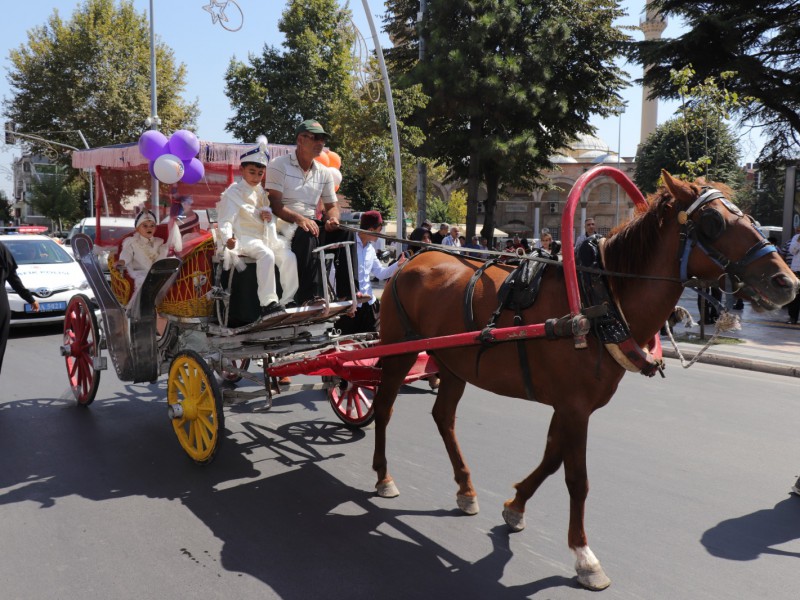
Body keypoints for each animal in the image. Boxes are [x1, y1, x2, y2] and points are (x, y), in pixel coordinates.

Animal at [370, 170, 800, 592]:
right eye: (713, 222)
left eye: (748, 216)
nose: (787, 283)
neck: (599, 304)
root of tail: (413, 259)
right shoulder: (575, 407)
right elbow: (577, 478)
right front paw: (583, 556)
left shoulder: (570, 406)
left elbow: (551, 457)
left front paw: (515, 507)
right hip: (398, 352)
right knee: (385, 408)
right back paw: (383, 476)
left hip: (453, 364)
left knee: (444, 417)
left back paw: (465, 488)